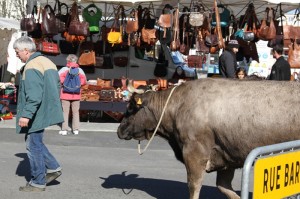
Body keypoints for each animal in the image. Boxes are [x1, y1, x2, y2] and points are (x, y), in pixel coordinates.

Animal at [116, 78, 300, 198]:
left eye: (131, 106)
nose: (120, 129)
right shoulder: (226, 155)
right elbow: (223, 187)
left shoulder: (194, 153)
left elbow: (194, 185)